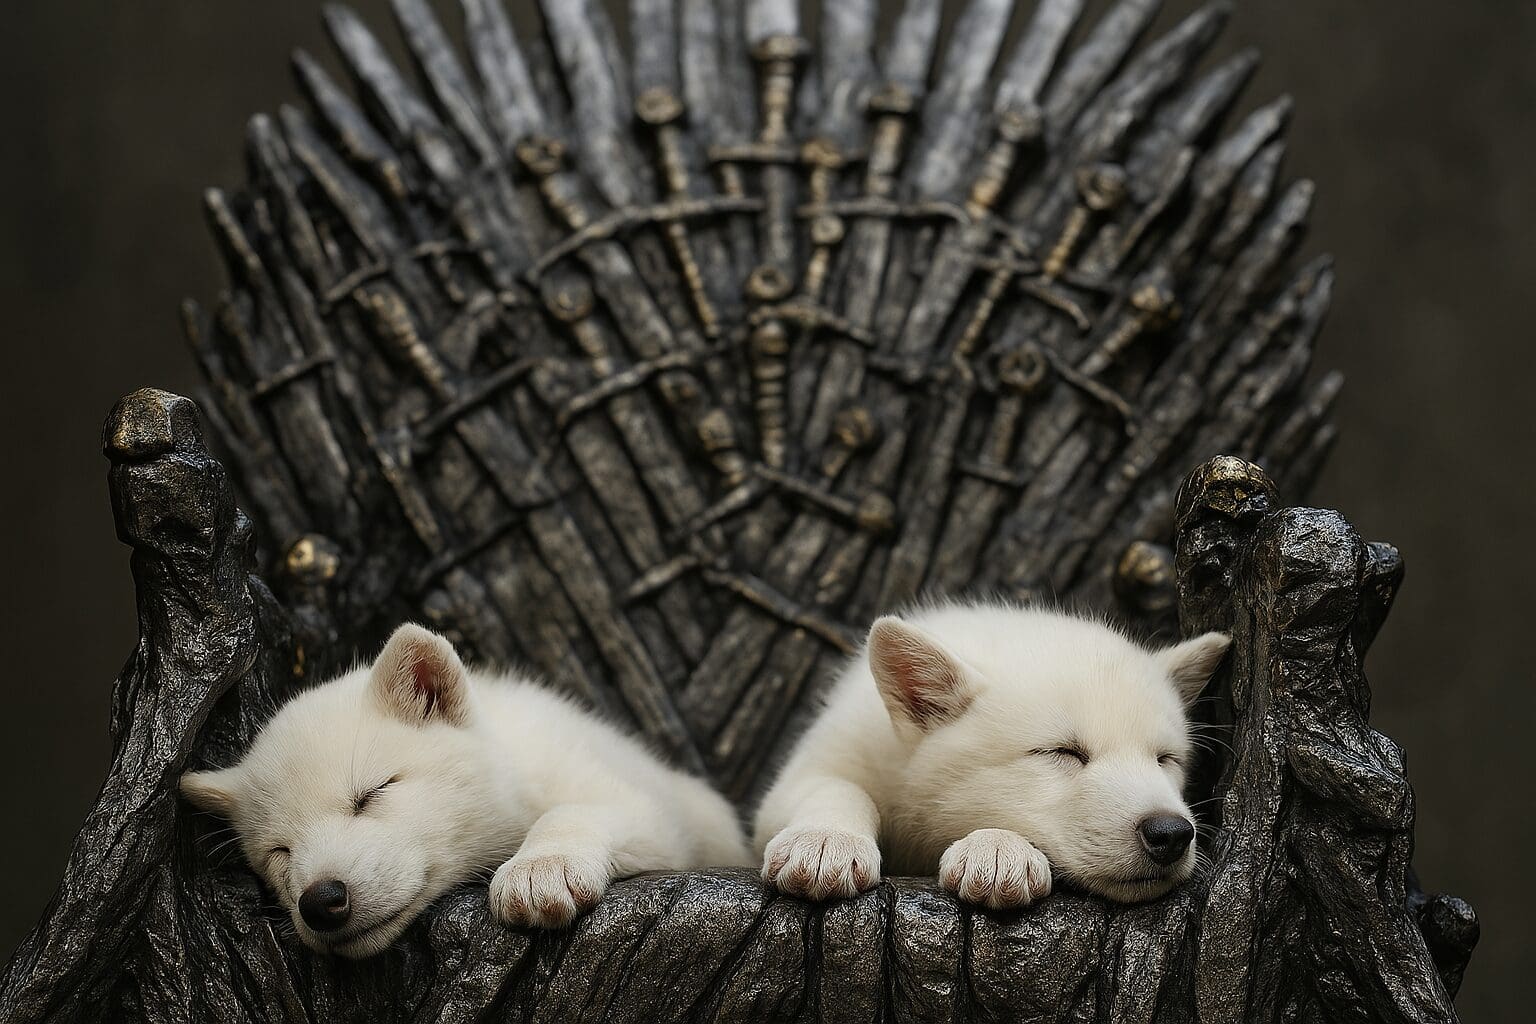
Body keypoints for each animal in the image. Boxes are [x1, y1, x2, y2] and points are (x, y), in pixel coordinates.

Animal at [180, 624, 749, 957]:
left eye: (372, 792)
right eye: (279, 852)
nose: (321, 901)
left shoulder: (642, 806)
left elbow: (591, 810)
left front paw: (539, 870)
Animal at [754, 602, 1228, 908]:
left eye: (1165, 759)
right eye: (1061, 752)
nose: (1171, 833)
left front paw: (996, 847)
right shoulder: (829, 753)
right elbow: (834, 786)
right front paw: (824, 839)